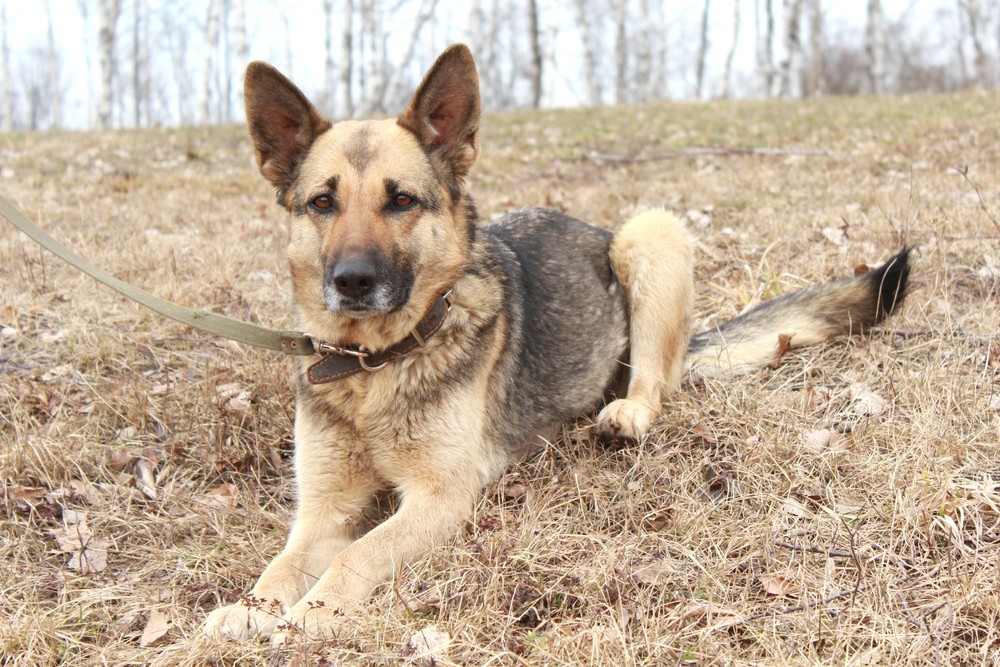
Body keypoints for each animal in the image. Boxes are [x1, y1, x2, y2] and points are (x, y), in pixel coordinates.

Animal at [203, 43, 908, 640]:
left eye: (401, 201)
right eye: (322, 203)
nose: (351, 282)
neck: (375, 363)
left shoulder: (438, 497)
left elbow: (356, 554)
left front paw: (310, 613)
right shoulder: (323, 509)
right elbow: (283, 563)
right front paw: (250, 608)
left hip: (650, 233)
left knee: (654, 381)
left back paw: (625, 412)